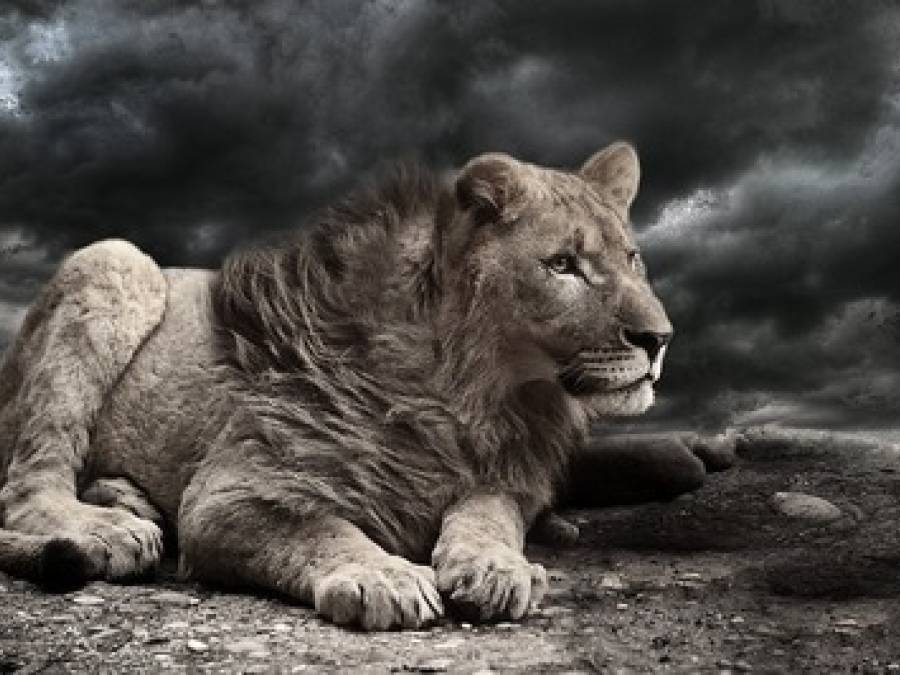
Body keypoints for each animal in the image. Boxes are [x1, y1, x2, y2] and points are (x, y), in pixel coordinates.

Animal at [0, 142, 713, 630]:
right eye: (562, 265)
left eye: (632, 260)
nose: (659, 339)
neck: (476, 394)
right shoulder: (228, 492)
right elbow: (316, 526)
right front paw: (382, 576)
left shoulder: (499, 468)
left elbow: (492, 511)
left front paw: (495, 565)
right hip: (116, 263)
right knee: (26, 483)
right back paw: (107, 529)